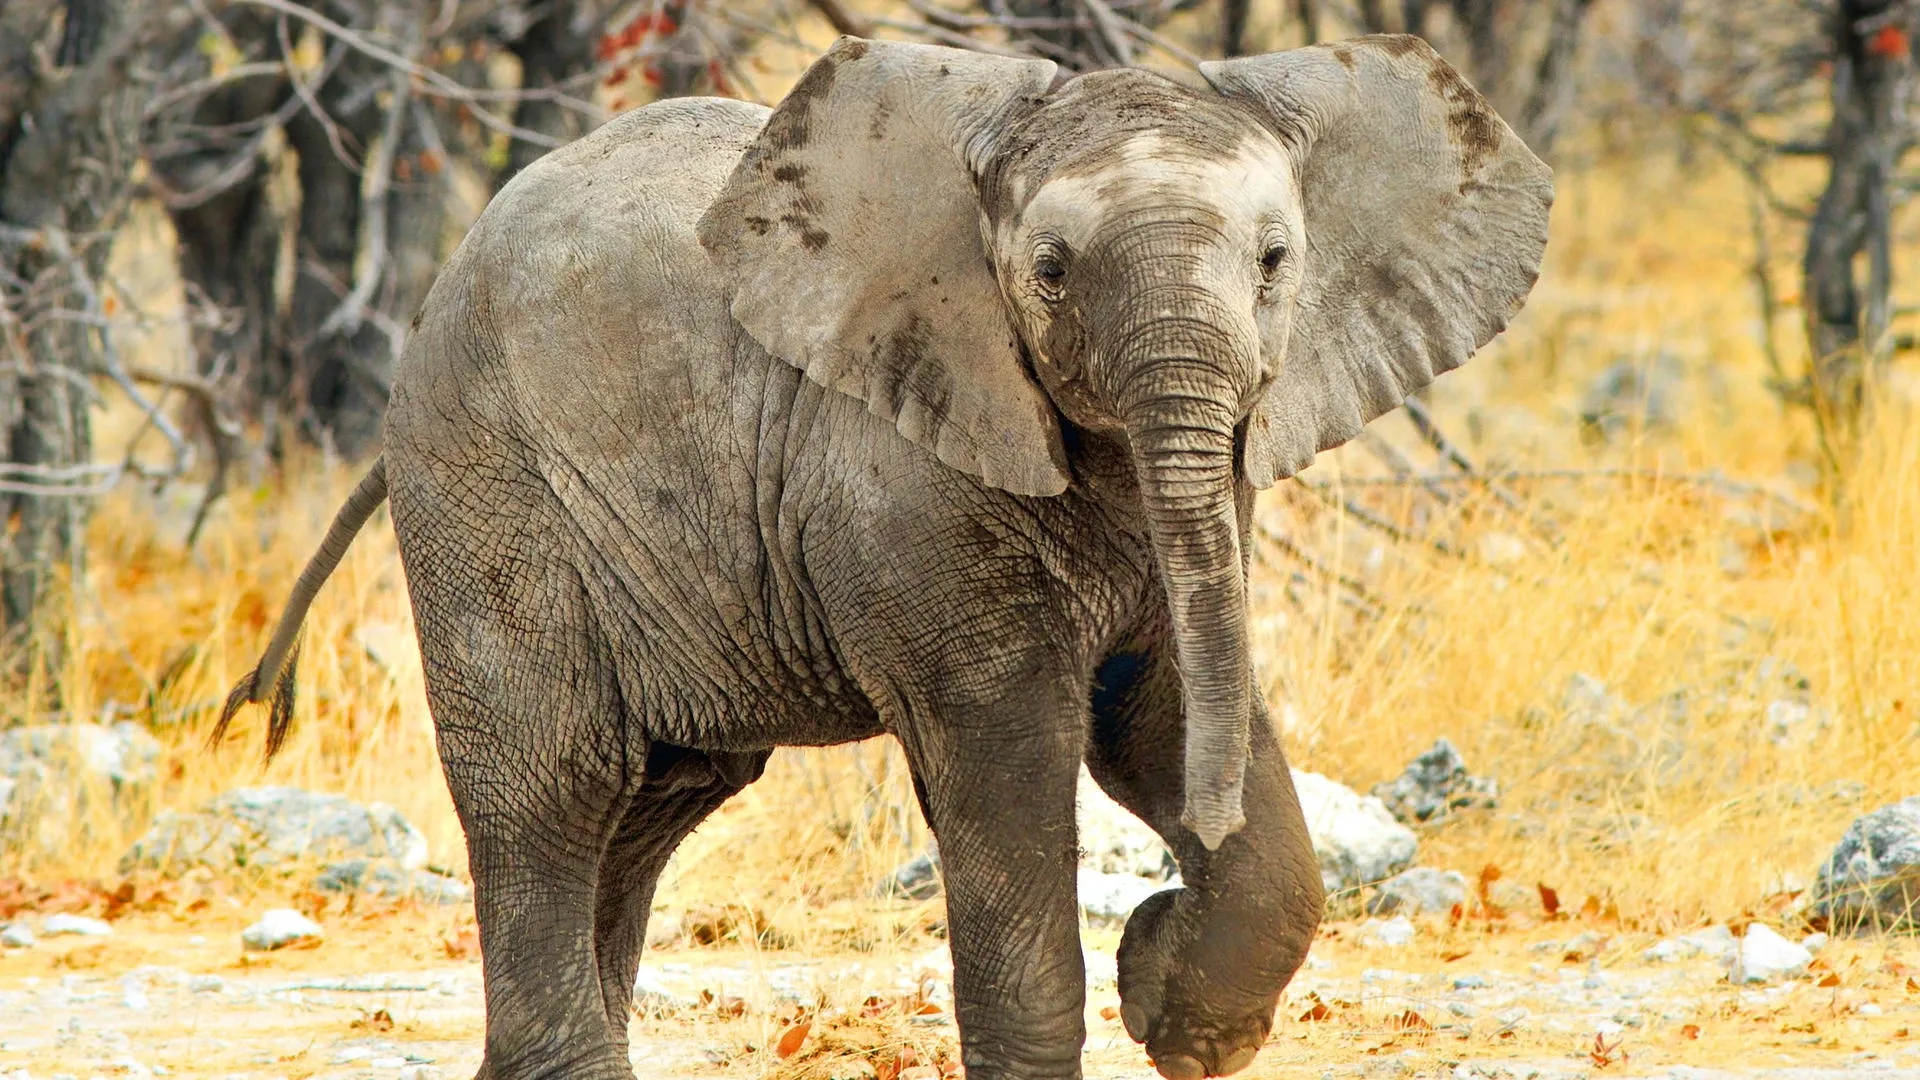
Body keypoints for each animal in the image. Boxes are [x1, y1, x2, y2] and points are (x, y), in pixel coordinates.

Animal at [217, 33, 1550, 1080]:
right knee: (553, 788)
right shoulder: (899, 477)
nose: (1166, 900)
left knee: (648, 809)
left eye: (1276, 264)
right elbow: (1008, 757)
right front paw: (1134, 972)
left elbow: (1167, 720)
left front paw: (1171, 1001)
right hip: (486, 479)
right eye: (1049, 274)